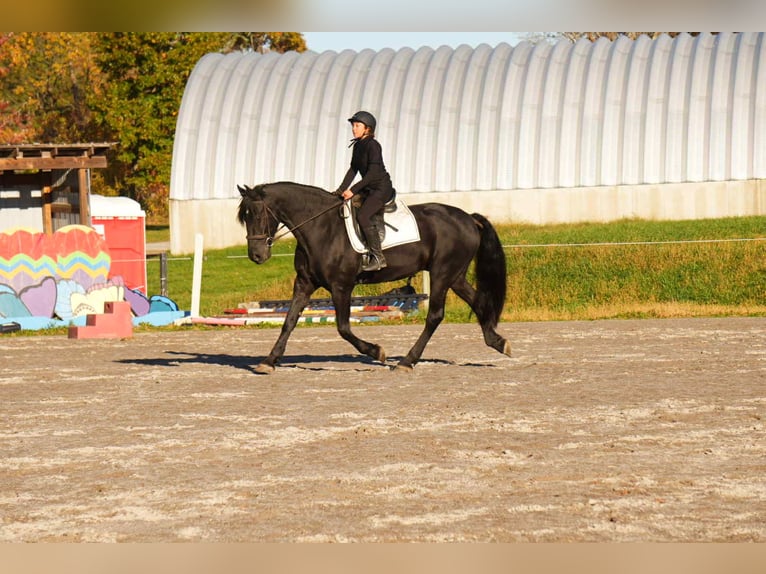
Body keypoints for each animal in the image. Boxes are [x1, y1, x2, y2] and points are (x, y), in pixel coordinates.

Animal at [237, 181, 511, 373]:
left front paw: (377, 351)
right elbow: (289, 321)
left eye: (258, 214)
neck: (320, 228)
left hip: (442, 273)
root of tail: (468, 218)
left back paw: (406, 362)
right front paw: (269, 361)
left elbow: (343, 328)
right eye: (244, 217)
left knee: (435, 316)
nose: (256, 255)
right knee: (479, 302)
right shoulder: (304, 283)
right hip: (455, 275)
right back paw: (498, 342)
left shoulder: (341, 286)